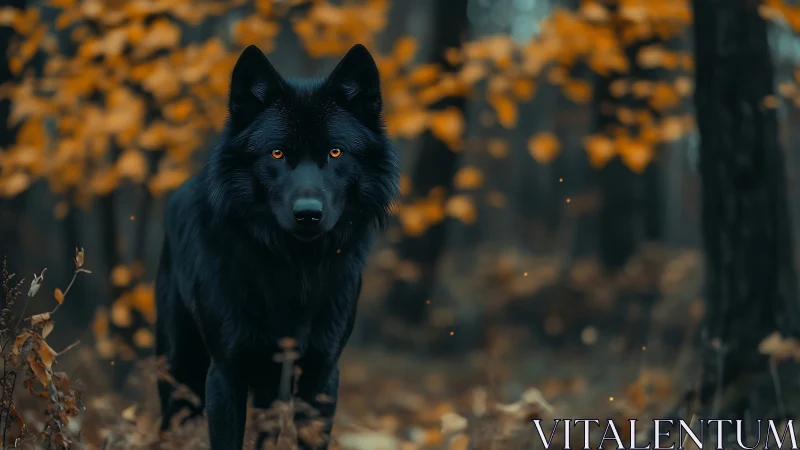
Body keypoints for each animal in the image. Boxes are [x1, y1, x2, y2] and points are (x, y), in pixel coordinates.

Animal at [154, 43, 400, 449]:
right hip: (180, 372)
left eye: (335, 152)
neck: (294, 268)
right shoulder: (226, 373)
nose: (308, 214)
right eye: (277, 153)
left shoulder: (321, 375)